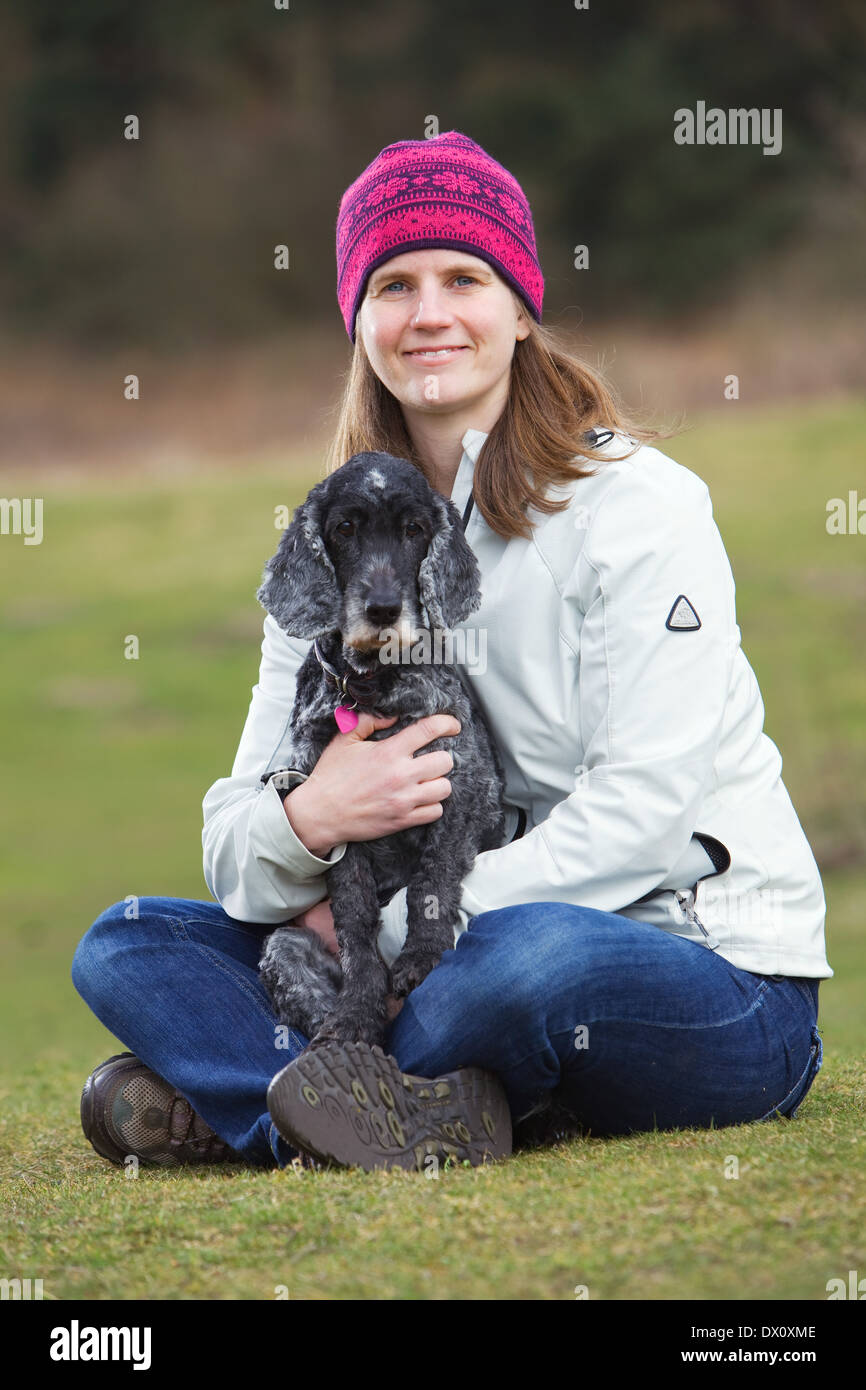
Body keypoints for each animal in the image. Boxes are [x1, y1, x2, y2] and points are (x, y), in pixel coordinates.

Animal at [261, 455, 511, 1050]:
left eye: (414, 530)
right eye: (345, 528)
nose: (382, 609)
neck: (371, 687)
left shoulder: (460, 785)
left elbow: (431, 882)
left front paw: (420, 957)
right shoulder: (337, 818)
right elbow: (354, 923)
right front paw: (356, 1013)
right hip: (282, 946)